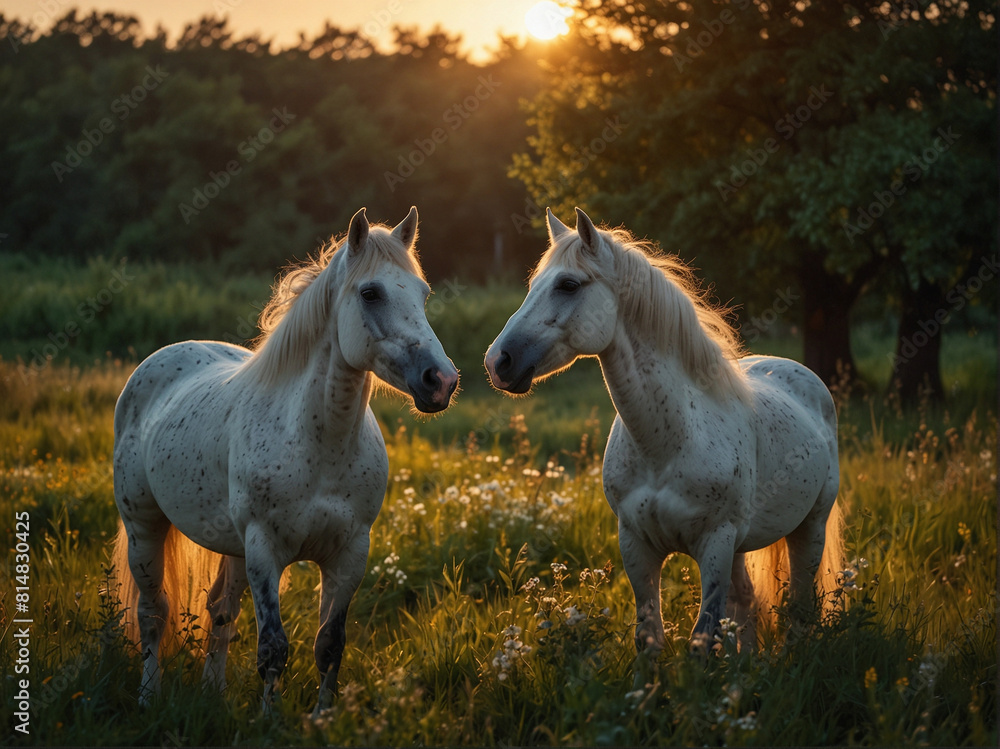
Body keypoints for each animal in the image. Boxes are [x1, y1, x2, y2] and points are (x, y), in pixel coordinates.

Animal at [112, 206, 459, 715]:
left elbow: (329, 644)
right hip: (145, 527)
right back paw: (147, 698)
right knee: (153, 613)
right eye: (370, 293)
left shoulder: (349, 554)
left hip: (230, 546)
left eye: (423, 293)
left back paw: (212, 693)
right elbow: (273, 648)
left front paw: (322, 718)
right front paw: (268, 720)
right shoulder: (264, 550)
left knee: (220, 611)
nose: (441, 381)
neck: (321, 446)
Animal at [485, 207, 842, 673]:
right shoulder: (637, 546)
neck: (666, 445)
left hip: (809, 526)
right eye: (533, 286)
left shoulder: (715, 544)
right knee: (746, 602)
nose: (498, 361)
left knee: (799, 607)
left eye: (568, 285)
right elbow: (650, 639)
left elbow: (701, 642)